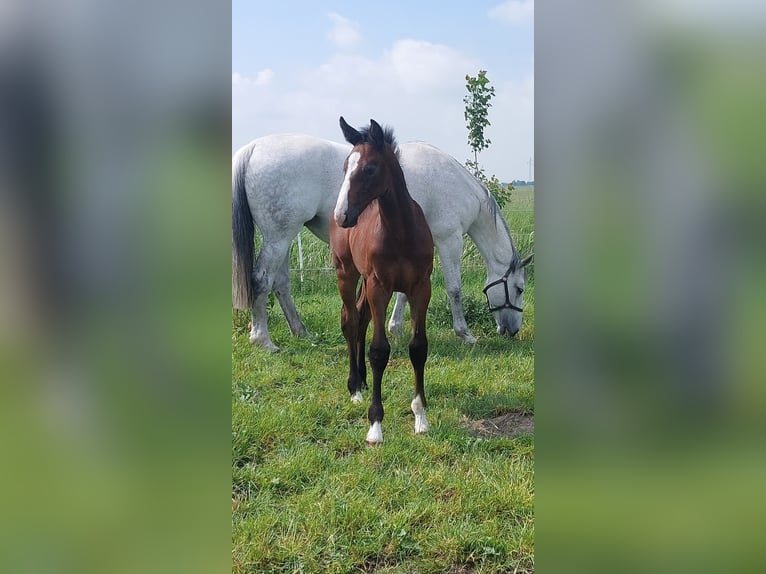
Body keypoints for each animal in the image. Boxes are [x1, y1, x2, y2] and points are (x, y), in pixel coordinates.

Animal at [330, 119, 436, 448]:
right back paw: (354, 387)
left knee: (362, 318)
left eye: (370, 169)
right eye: (344, 167)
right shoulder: (380, 286)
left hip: (365, 281)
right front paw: (375, 425)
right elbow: (379, 351)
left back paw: (362, 381)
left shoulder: (421, 287)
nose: (342, 215)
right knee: (350, 319)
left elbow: (418, 347)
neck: (401, 232)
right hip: (347, 273)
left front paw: (420, 417)